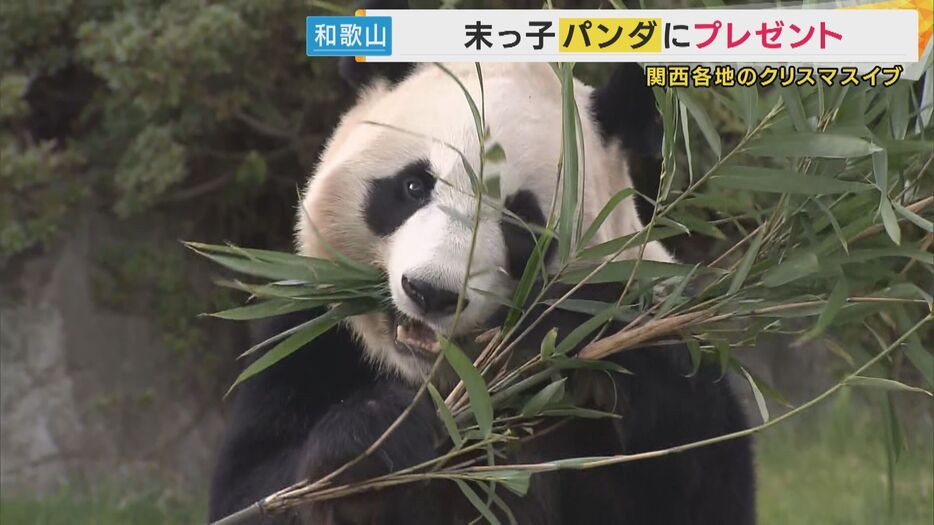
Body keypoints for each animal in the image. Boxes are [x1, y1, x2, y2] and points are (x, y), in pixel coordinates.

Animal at [208, 25, 756, 525]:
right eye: (414, 185)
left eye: (521, 222)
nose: (431, 293)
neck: (454, 384)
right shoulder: (309, 335)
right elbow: (252, 487)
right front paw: (373, 445)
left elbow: (702, 475)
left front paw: (570, 328)